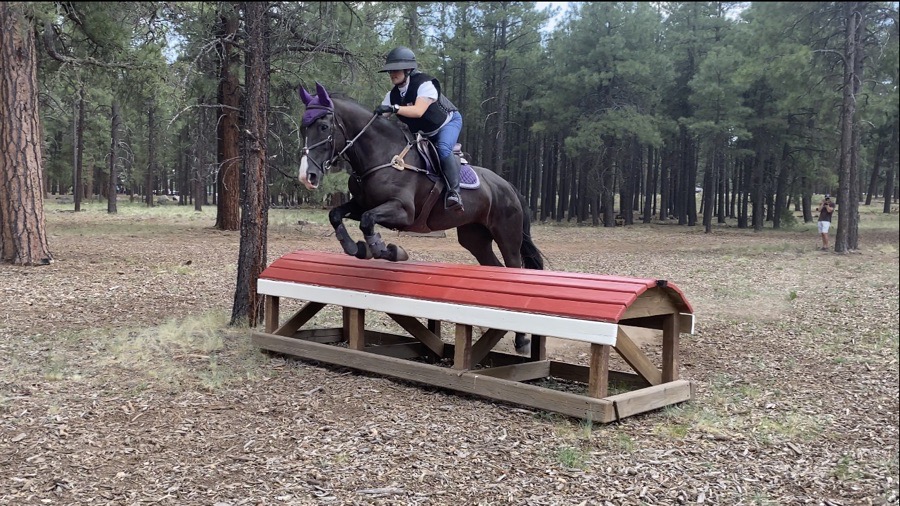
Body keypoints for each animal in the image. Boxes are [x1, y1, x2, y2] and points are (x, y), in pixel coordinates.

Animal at [296, 82, 544, 352]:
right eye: (303, 127)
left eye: (323, 127)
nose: (306, 176)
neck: (382, 155)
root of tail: (508, 186)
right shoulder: (360, 204)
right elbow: (336, 214)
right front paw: (356, 248)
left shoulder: (403, 212)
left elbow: (368, 221)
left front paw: (389, 251)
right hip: (475, 238)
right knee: (495, 267)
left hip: (507, 236)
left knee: (515, 269)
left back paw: (521, 339)